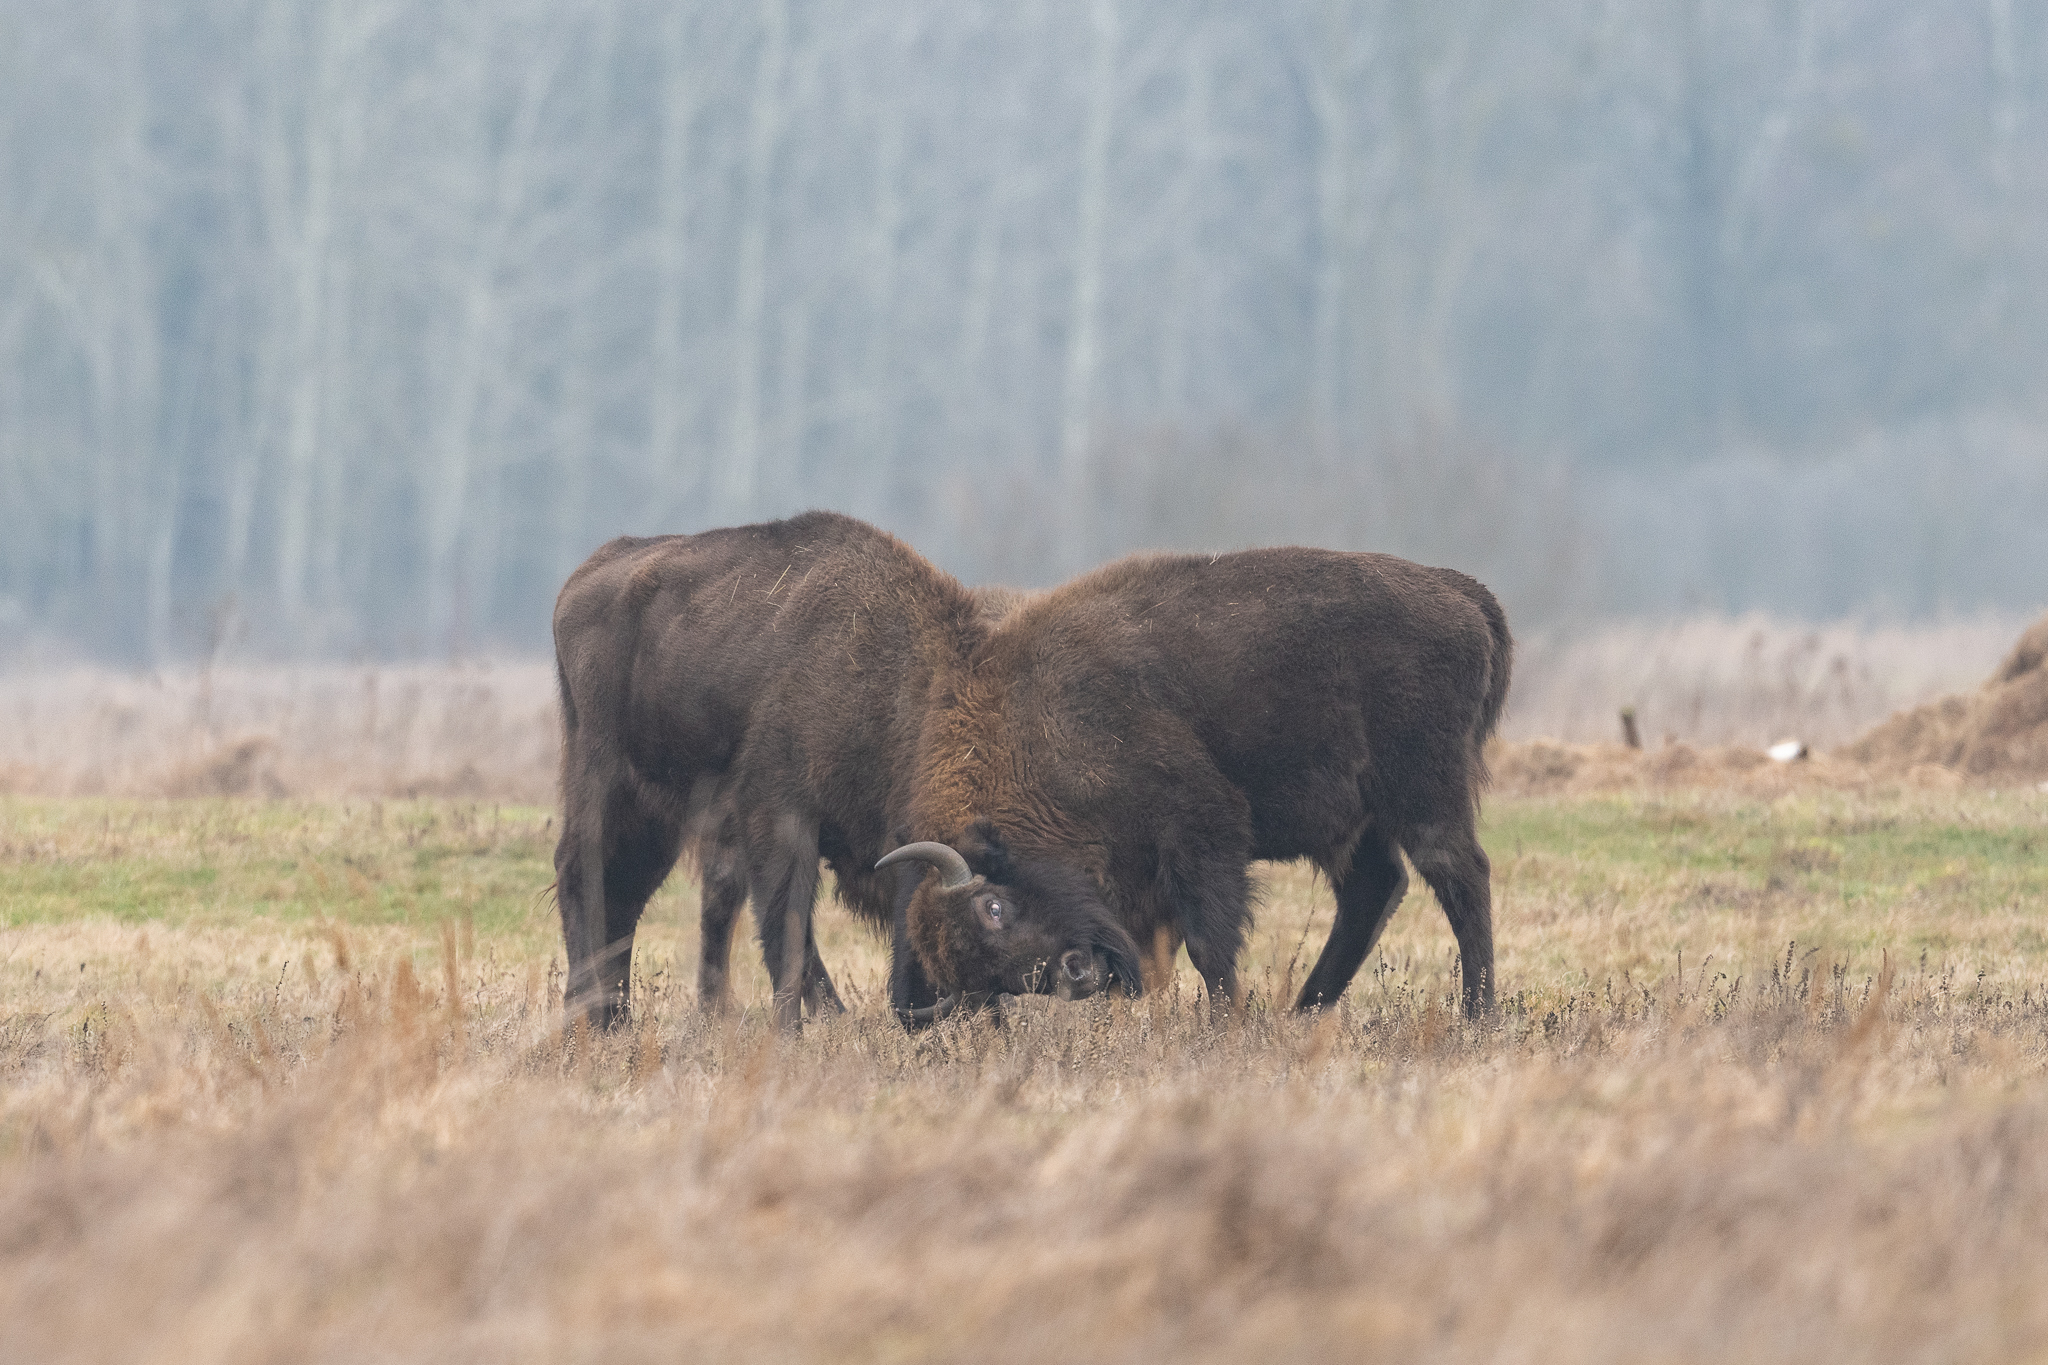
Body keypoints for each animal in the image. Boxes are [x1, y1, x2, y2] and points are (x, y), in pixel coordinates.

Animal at [880, 547, 1511, 1020]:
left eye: (993, 906)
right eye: (992, 981)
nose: (1074, 974)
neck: (1037, 729)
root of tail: (1461, 593)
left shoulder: (1199, 830)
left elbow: (1210, 944)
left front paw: (1225, 1024)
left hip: (1424, 791)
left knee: (1459, 875)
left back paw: (1476, 1015)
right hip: (1361, 822)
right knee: (1374, 888)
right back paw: (1304, 1013)